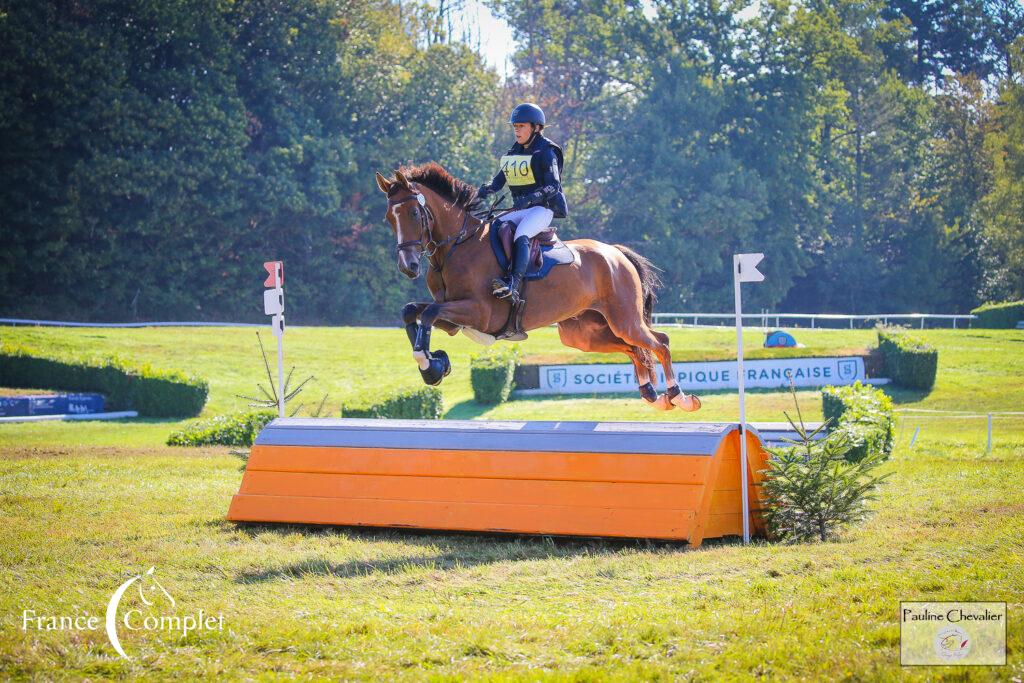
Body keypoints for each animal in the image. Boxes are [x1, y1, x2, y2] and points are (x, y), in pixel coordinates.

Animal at [376, 162, 704, 413]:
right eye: (389, 218)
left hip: (624, 320)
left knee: (659, 341)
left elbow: (428, 313)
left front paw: (430, 364)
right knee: (634, 348)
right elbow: (413, 312)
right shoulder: (455, 321)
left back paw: (680, 397)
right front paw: (433, 365)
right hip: (585, 334)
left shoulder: (479, 313)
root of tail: (616, 253)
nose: (409, 266)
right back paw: (652, 395)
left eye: (414, 214)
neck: (457, 246)